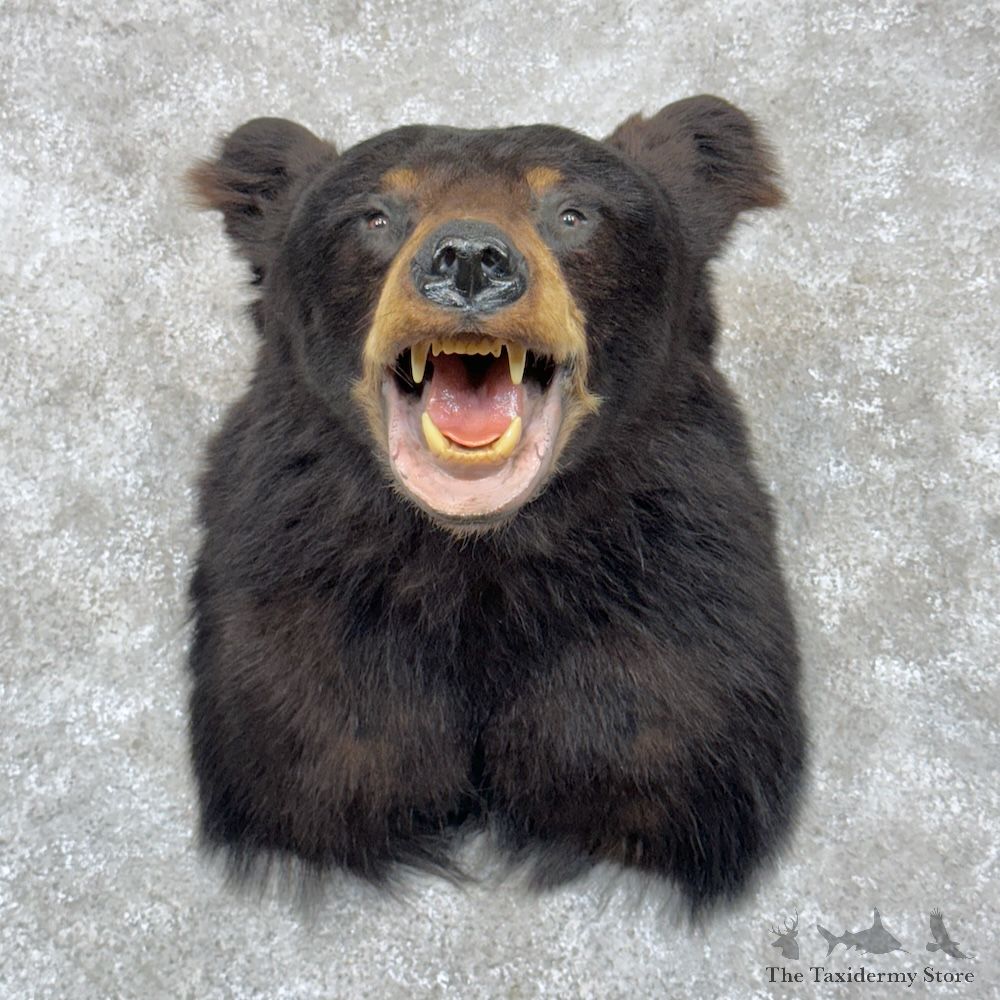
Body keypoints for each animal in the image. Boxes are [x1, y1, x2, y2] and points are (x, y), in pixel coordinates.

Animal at [185, 95, 805, 913]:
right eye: (377, 214)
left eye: (571, 213)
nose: (472, 258)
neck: (481, 552)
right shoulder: (303, 582)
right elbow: (319, 742)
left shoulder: (673, 582)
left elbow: (655, 744)